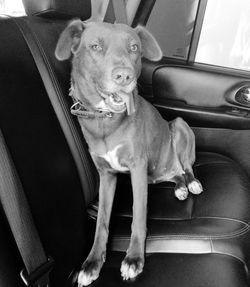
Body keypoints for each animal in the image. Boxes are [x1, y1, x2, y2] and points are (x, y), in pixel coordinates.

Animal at [55, 19, 203, 286]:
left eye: (134, 47)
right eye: (95, 46)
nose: (124, 76)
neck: (106, 119)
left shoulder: (137, 168)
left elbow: (138, 216)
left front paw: (134, 259)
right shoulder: (106, 175)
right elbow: (101, 222)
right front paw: (92, 262)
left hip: (179, 125)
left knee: (186, 167)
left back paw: (192, 183)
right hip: (156, 173)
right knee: (176, 175)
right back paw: (180, 187)